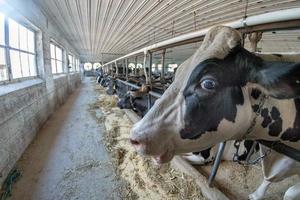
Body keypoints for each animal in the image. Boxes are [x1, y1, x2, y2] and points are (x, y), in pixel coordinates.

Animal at [129, 25, 300, 199]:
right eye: (177, 74)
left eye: (208, 84)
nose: (135, 137)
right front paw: (256, 195)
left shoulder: (206, 156)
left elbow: (289, 192)